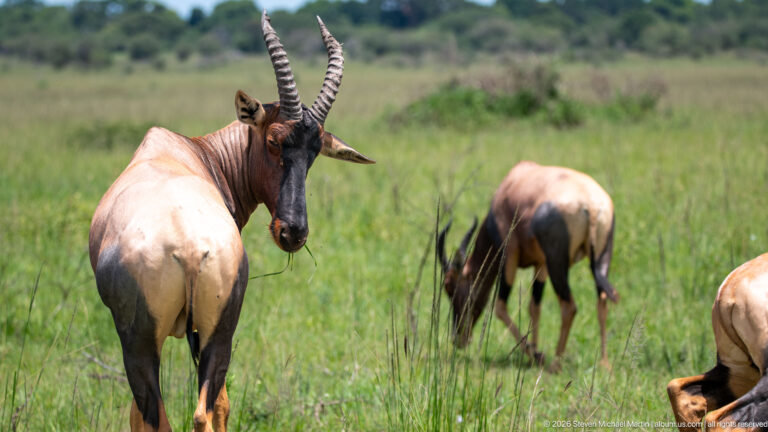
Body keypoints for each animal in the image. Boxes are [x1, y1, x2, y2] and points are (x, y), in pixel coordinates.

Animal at [88, 13, 373, 432]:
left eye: (315, 151)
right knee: (202, 412)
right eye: (274, 140)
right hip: (217, 331)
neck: (189, 150)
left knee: (170, 414)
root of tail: (187, 245)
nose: (292, 232)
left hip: (144, 341)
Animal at [437, 161, 618, 371]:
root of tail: (591, 205)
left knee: (569, 306)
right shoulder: (541, 264)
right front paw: (534, 353)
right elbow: (534, 307)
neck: (512, 183)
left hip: (557, 263)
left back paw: (555, 364)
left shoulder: (509, 257)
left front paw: (536, 355)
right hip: (601, 259)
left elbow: (500, 307)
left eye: (449, 287)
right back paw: (604, 363)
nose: (458, 339)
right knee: (602, 301)